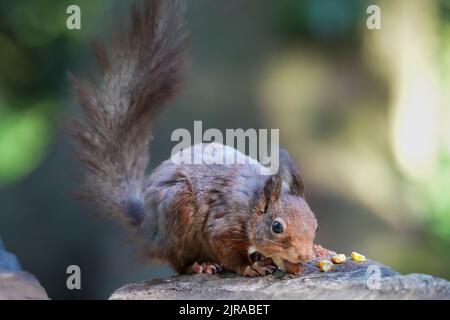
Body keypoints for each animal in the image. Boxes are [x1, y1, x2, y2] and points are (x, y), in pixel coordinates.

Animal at [68, 0, 332, 276]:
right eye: (276, 227)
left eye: (315, 225)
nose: (304, 255)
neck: (252, 203)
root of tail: (149, 230)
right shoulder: (223, 223)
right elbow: (227, 249)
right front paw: (250, 267)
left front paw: (319, 251)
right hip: (178, 214)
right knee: (179, 261)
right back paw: (200, 264)